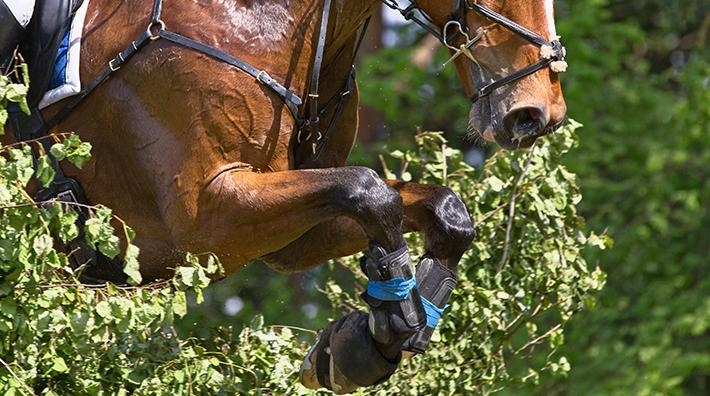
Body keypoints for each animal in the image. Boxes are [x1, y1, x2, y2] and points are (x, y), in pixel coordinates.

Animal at [11, 0, 572, 392]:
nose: (538, 113)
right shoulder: (206, 222)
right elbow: (369, 191)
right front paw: (383, 328)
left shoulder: (292, 234)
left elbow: (442, 213)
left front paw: (368, 340)